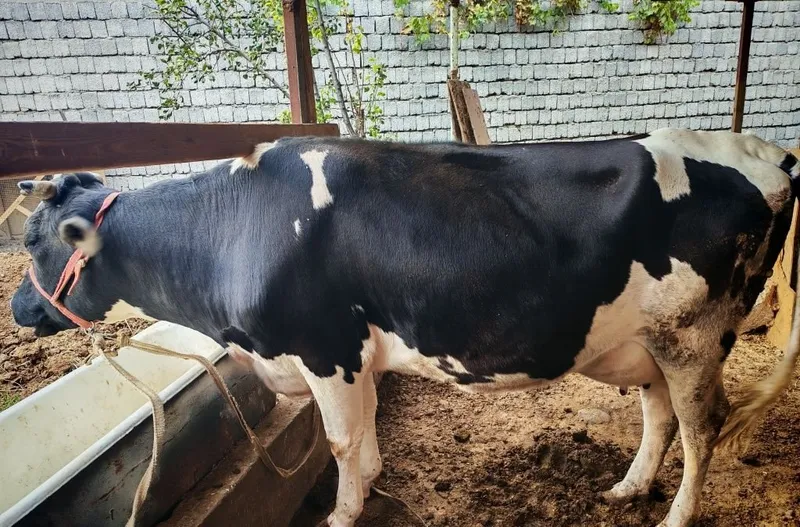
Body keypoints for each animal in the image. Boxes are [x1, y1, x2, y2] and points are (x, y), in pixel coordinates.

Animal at [10, 128, 800, 527]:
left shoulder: (324, 348)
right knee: (660, 417)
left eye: (35, 242)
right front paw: (370, 492)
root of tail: (763, 150)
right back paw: (627, 491)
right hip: (649, 342)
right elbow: (363, 438)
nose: (19, 308)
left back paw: (675, 516)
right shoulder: (348, 357)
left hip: (694, 336)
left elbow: (340, 443)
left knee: (701, 427)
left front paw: (343, 514)